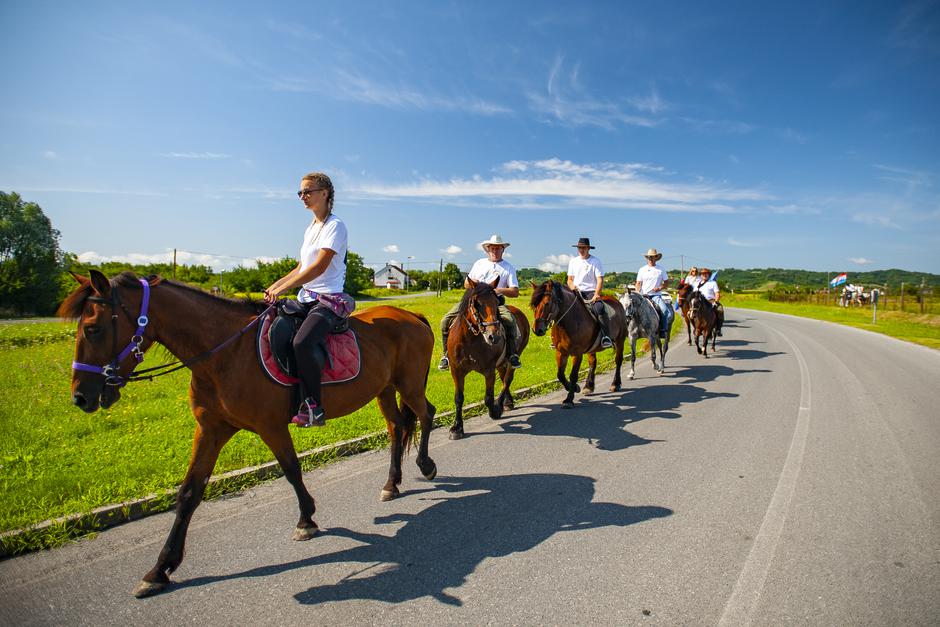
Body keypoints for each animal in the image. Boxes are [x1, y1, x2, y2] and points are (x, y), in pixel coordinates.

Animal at [60, 272, 438, 600]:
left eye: (92, 329)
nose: (80, 397)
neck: (223, 352)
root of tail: (412, 315)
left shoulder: (271, 426)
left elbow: (291, 470)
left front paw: (306, 520)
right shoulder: (211, 430)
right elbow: (189, 494)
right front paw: (160, 569)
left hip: (408, 384)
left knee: (426, 414)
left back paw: (426, 465)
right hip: (385, 389)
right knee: (397, 427)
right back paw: (392, 483)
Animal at [446, 280, 528, 442]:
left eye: (497, 302)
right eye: (476, 304)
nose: (493, 336)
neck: (470, 339)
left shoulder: (489, 370)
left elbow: (488, 397)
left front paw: (495, 411)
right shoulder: (456, 370)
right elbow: (458, 398)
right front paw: (457, 428)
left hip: (512, 359)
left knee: (507, 380)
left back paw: (501, 404)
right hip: (501, 363)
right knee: (503, 377)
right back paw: (508, 402)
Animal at [528, 278, 624, 408]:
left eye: (547, 303)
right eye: (534, 305)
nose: (537, 330)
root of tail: (616, 301)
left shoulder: (577, 353)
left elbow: (573, 375)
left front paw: (569, 399)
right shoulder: (561, 352)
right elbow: (560, 375)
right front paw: (575, 388)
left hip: (620, 340)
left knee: (618, 361)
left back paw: (615, 384)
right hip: (592, 349)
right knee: (592, 363)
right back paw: (588, 386)